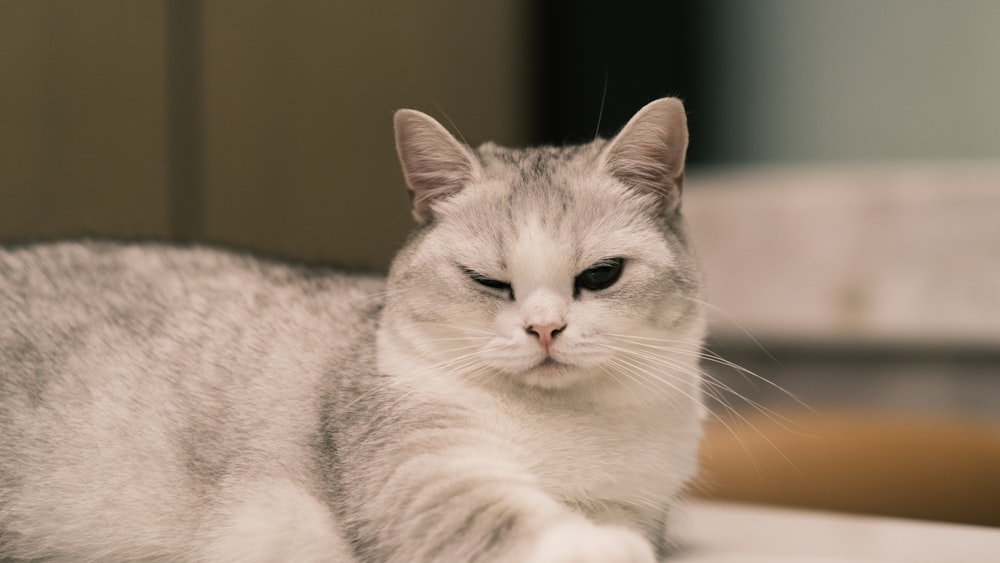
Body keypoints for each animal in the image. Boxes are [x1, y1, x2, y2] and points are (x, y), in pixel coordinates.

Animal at [0, 98, 708, 563]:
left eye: (601, 276)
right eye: (488, 281)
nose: (544, 329)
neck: (566, 424)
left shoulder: (637, 503)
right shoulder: (419, 474)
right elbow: (506, 518)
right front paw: (599, 547)